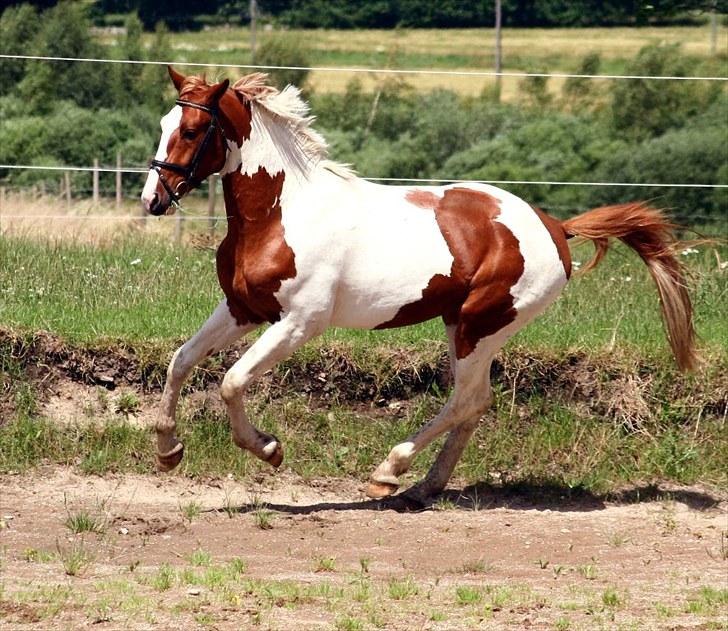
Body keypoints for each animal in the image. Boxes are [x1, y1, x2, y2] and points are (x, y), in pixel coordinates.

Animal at [141, 68, 692, 504]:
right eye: (163, 126)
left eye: (192, 130)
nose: (153, 199)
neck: (281, 213)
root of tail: (555, 226)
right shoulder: (242, 309)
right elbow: (181, 361)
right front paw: (169, 449)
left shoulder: (299, 322)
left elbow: (232, 381)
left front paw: (269, 449)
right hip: (462, 326)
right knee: (476, 402)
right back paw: (424, 488)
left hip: (479, 326)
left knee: (466, 401)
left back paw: (389, 473)